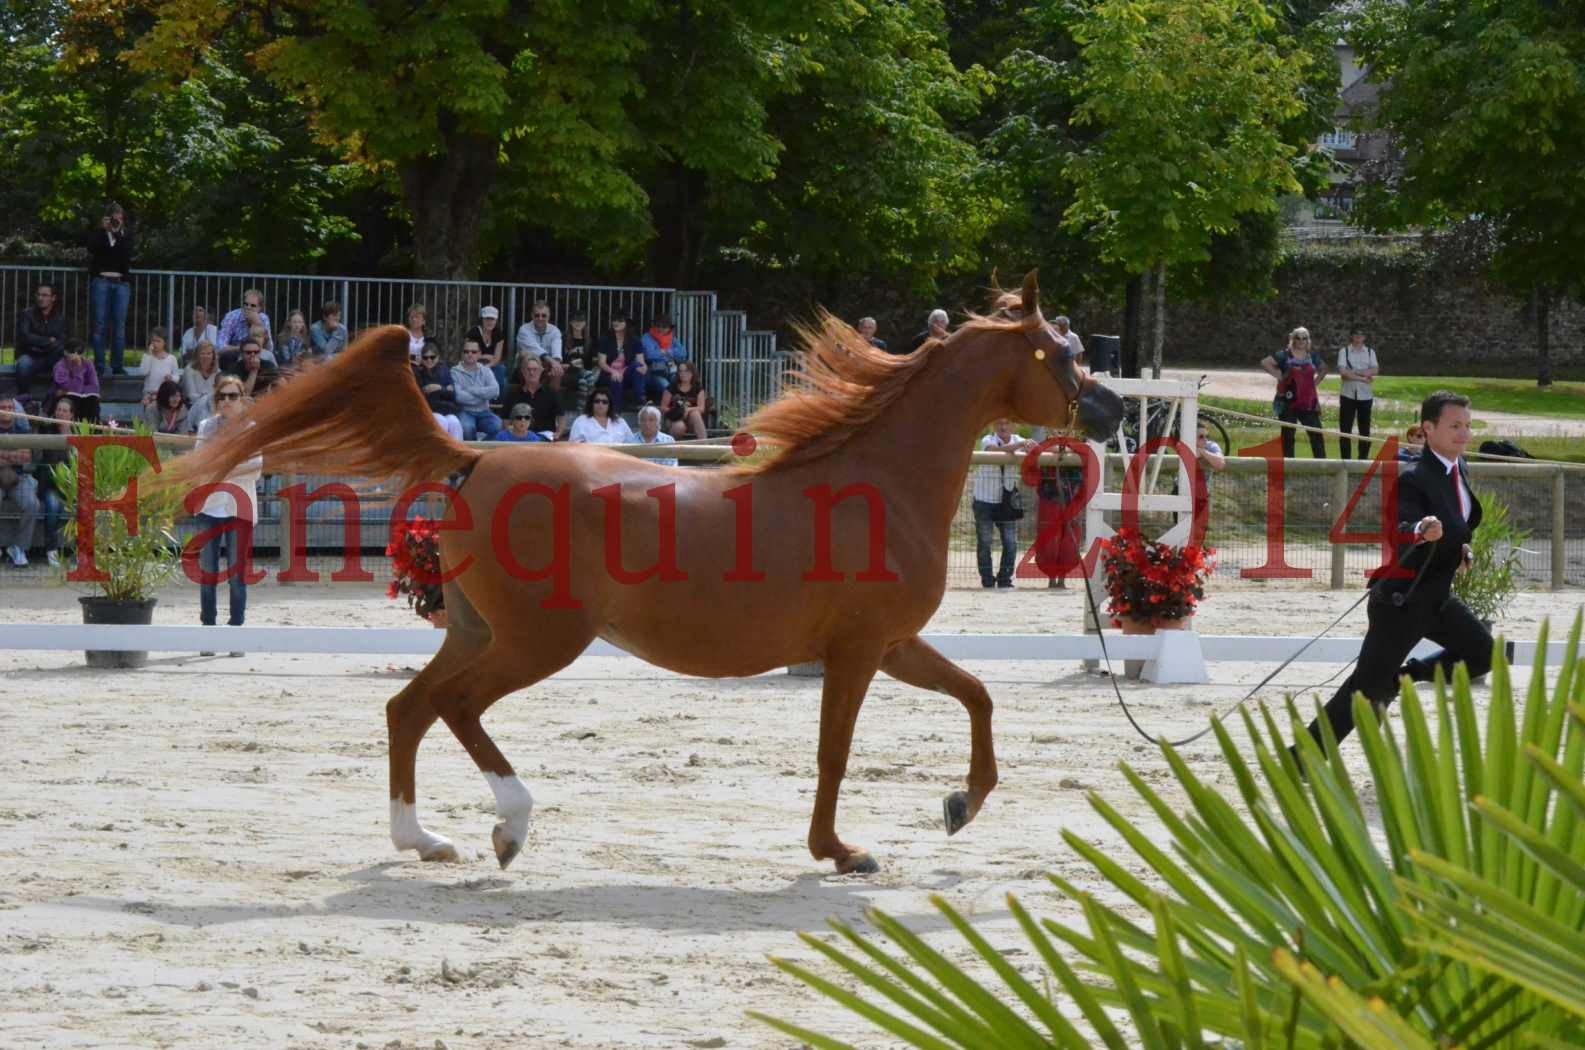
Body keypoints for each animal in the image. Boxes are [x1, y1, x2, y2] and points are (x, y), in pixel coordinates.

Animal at [173, 275, 1122, 875]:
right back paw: (510, 825)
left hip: (479, 629)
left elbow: (977, 696)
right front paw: (842, 853)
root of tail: (477, 457)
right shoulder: (856, 653)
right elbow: (834, 753)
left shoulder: (893, 645)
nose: (1112, 410)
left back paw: (427, 841)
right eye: (1057, 351)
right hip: (539, 641)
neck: (877, 483)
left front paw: (962, 804)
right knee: (454, 707)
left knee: (409, 707)